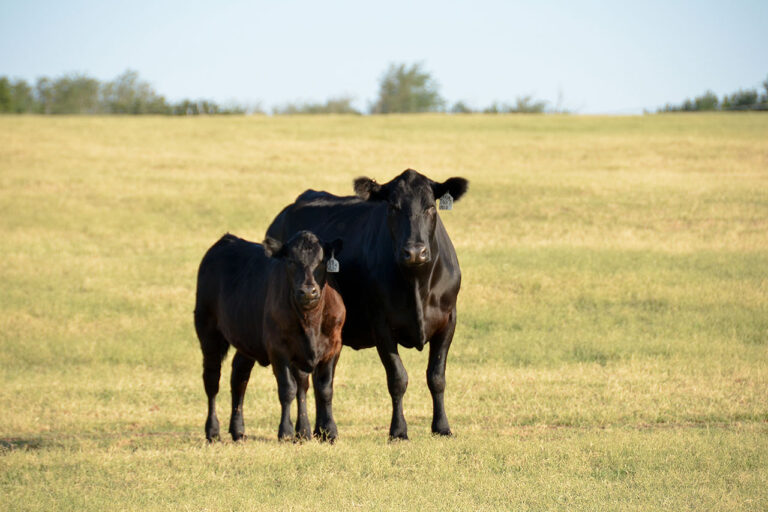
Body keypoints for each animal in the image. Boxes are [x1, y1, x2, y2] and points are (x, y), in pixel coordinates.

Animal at [195, 230, 344, 442]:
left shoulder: (333, 346)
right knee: (212, 379)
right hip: (208, 331)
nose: (308, 291)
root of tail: (227, 239)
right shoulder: (278, 348)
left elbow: (324, 389)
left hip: (247, 338)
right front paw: (286, 432)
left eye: (322, 261)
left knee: (239, 376)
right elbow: (288, 389)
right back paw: (213, 431)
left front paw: (328, 432)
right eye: (290, 261)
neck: (311, 321)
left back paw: (239, 430)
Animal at [264, 169, 468, 440]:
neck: (417, 284)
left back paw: (319, 430)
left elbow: (436, 376)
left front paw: (442, 427)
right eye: (393, 207)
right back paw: (305, 431)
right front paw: (398, 430)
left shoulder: (448, 320)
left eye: (430, 207)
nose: (415, 252)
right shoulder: (381, 325)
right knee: (303, 382)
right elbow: (397, 378)